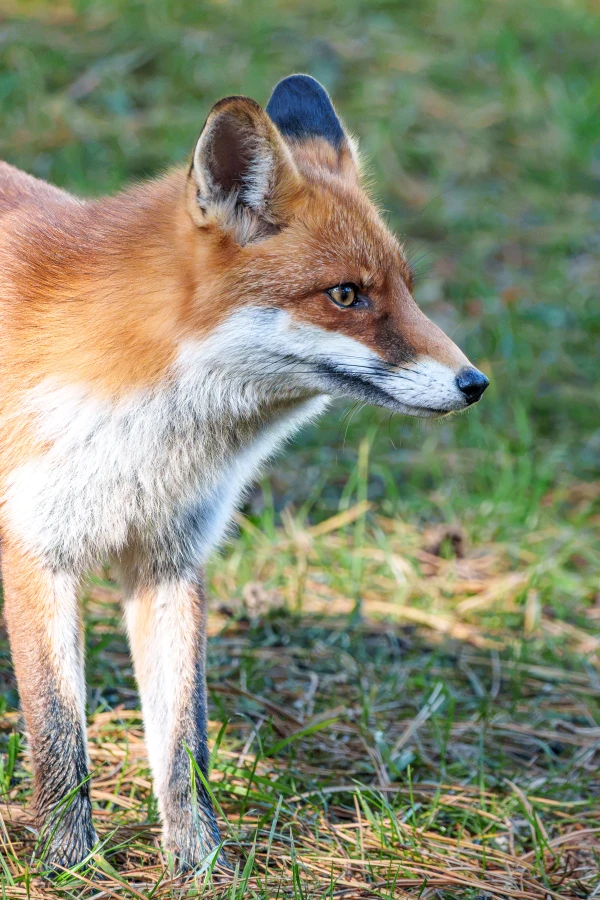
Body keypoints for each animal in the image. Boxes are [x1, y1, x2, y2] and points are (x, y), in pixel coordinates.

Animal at [0, 74, 488, 871]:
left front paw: (200, 865)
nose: (475, 384)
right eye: (346, 295)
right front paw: (68, 865)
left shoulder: (170, 559)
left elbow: (184, 745)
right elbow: (60, 737)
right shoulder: (38, 552)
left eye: (407, 288)